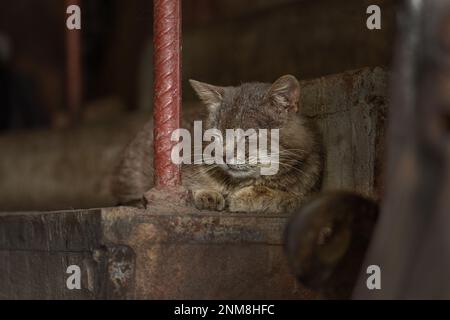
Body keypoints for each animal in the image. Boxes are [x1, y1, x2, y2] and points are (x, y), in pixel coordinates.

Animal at [112, 75, 324, 214]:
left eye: (248, 135)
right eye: (217, 135)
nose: (224, 155)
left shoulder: (310, 191)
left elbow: (286, 197)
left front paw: (248, 197)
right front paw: (207, 194)